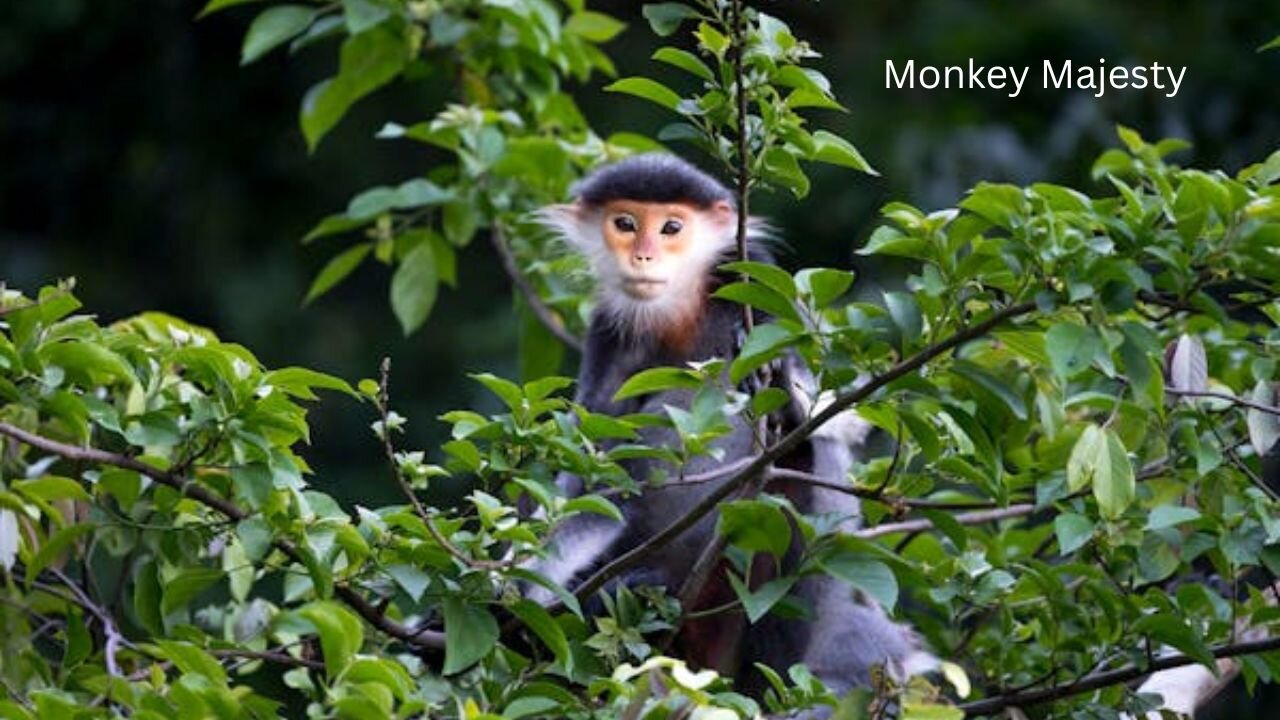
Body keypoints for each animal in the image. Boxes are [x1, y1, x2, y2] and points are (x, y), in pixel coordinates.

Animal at [524, 152, 936, 712]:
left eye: (671, 228)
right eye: (625, 224)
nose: (644, 256)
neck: (682, 308)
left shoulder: (758, 283)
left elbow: (838, 420)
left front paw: (788, 396)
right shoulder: (610, 330)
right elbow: (596, 478)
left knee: (800, 471)